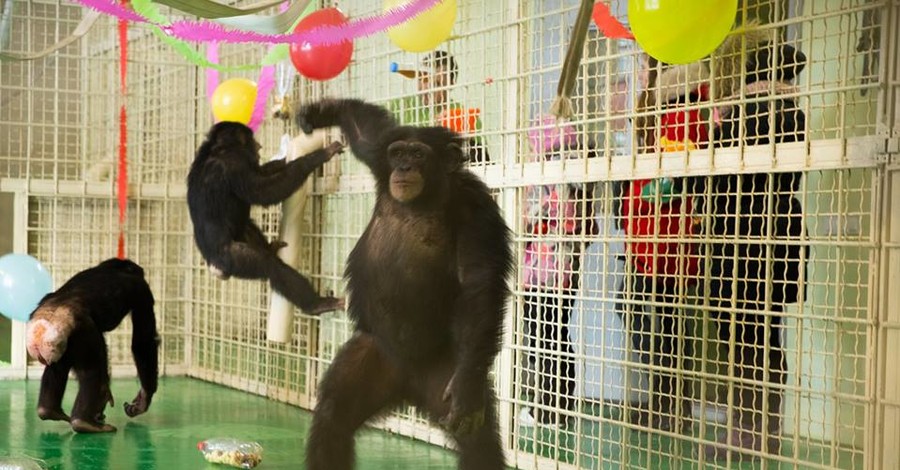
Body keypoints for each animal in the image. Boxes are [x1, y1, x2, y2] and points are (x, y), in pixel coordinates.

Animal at [25, 258, 159, 434]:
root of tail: (43, 325)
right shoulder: (142, 291)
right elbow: (143, 342)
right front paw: (143, 399)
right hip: (83, 332)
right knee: (91, 370)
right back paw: (85, 421)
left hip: (56, 344)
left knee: (57, 367)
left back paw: (50, 411)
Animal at [186, 121, 344, 316]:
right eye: (250, 139)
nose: (259, 145)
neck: (218, 148)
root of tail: (214, 267)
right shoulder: (235, 162)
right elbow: (264, 190)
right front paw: (316, 157)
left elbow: (262, 172)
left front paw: (284, 159)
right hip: (234, 258)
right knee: (272, 268)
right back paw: (316, 304)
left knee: (249, 227)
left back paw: (270, 247)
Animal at [298, 97, 512, 468]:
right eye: (398, 152)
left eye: (418, 154)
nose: (404, 168)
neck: (428, 196)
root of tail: (409, 386)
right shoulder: (378, 155)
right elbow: (364, 129)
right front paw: (320, 112)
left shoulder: (477, 209)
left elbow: (479, 284)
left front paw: (467, 393)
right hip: (376, 355)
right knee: (333, 416)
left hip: (445, 371)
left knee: (478, 445)